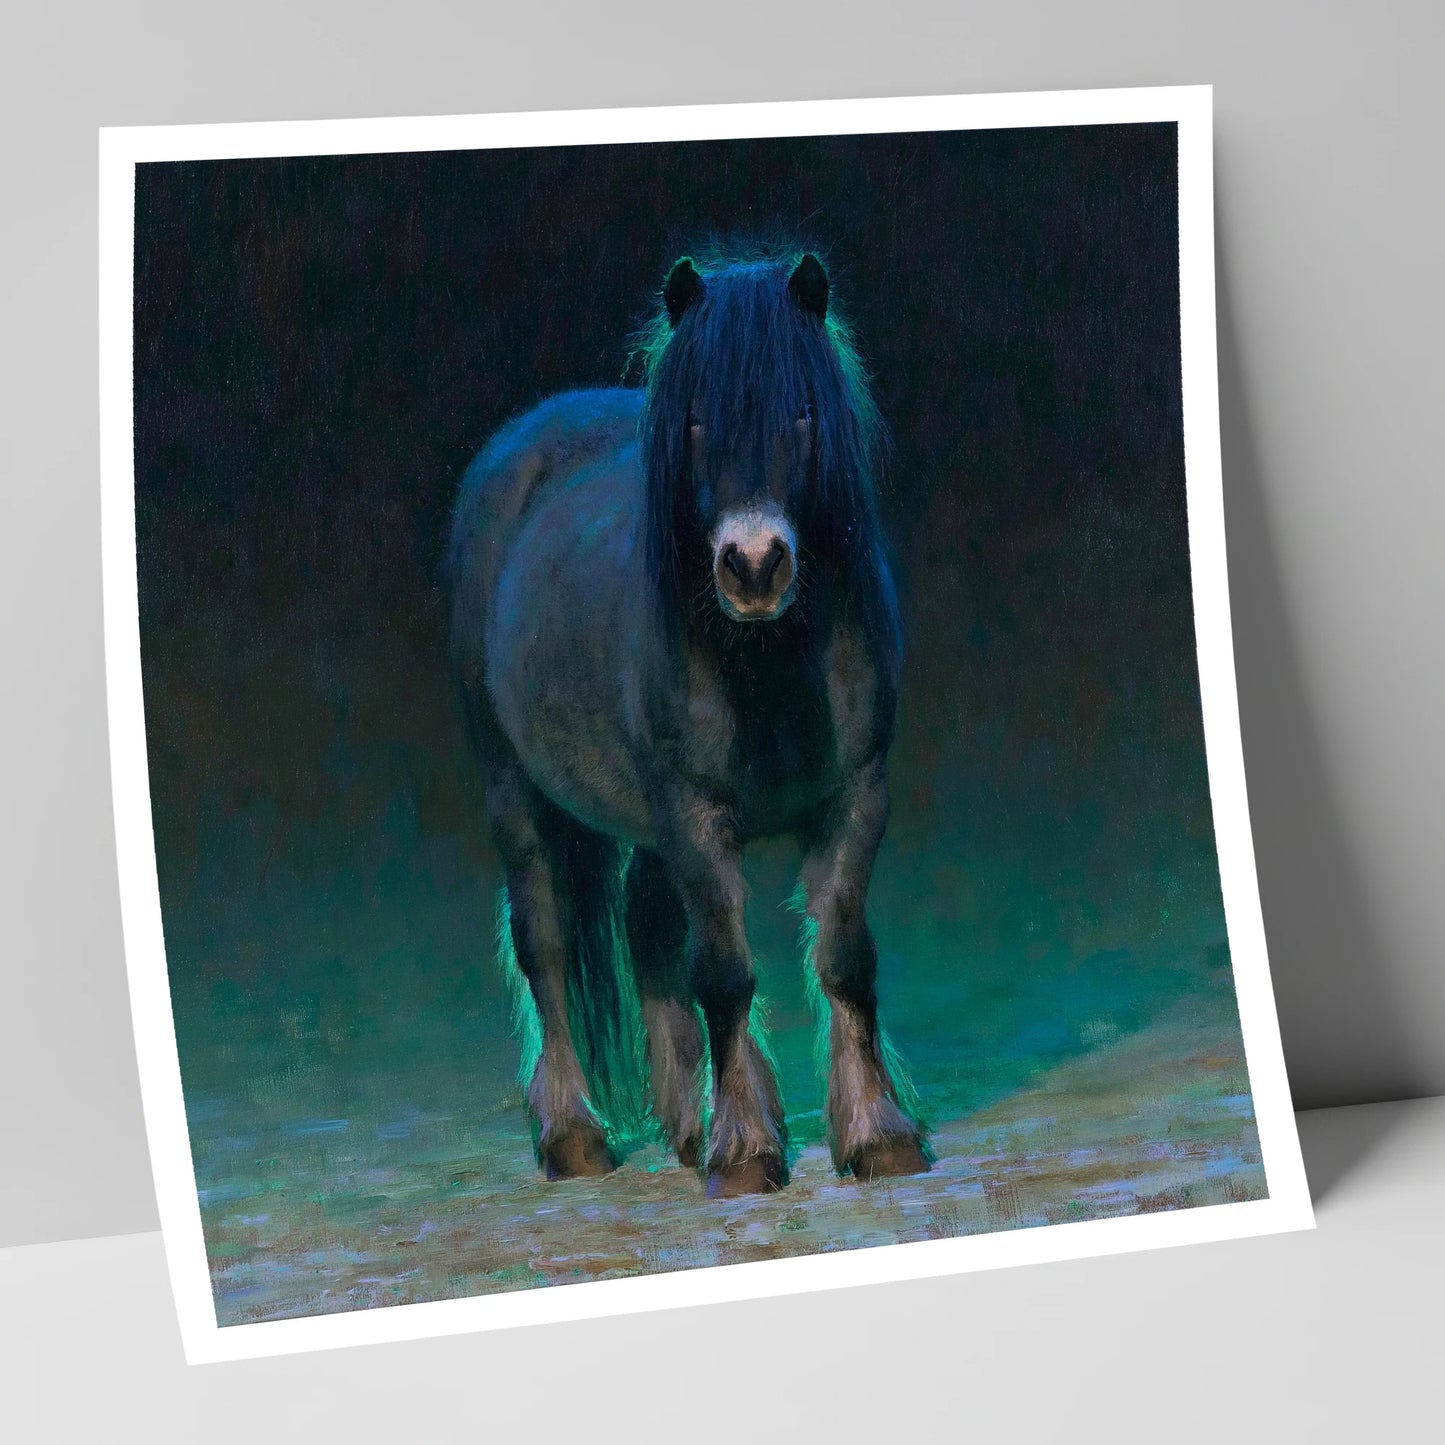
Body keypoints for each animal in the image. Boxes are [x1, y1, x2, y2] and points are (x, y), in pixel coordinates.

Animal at [446, 248, 929, 1197]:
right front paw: (745, 1153)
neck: (768, 661)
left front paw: (876, 1134)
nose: (753, 564)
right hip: (515, 793)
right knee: (544, 943)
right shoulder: (695, 814)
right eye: (697, 420)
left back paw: (683, 1121)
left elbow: (844, 959)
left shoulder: (856, 798)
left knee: (646, 928)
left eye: (802, 410)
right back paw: (572, 1137)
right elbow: (726, 975)